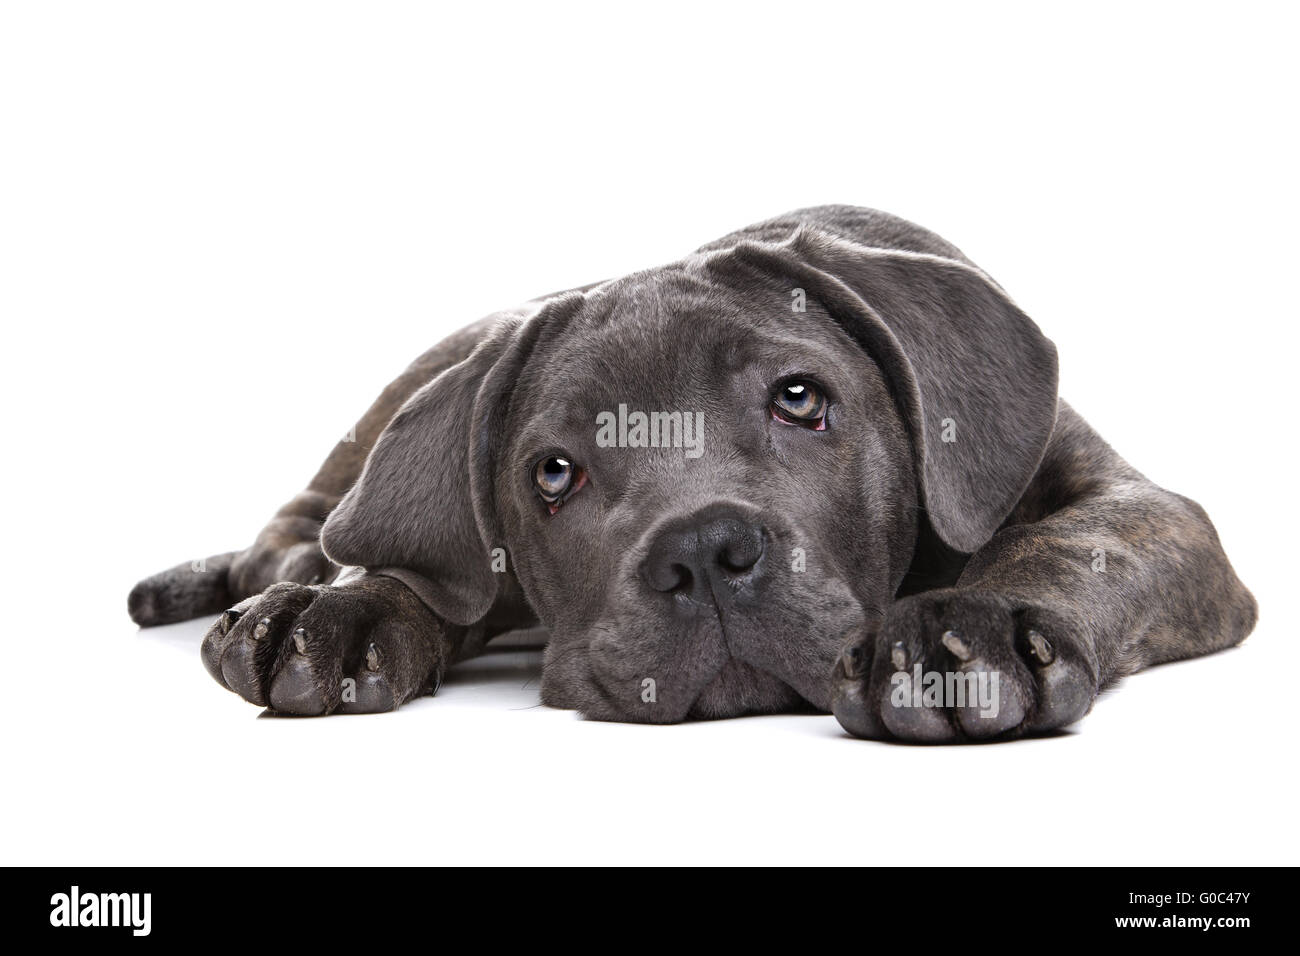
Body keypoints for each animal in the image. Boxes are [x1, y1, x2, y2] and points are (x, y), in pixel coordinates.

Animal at [129, 205, 1248, 743]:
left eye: (799, 398)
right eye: (554, 473)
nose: (706, 551)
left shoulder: (1145, 510)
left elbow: (1074, 544)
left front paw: (959, 628)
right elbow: (428, 573)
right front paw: (347, 612)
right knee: (312, 518)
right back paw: (290, 579)